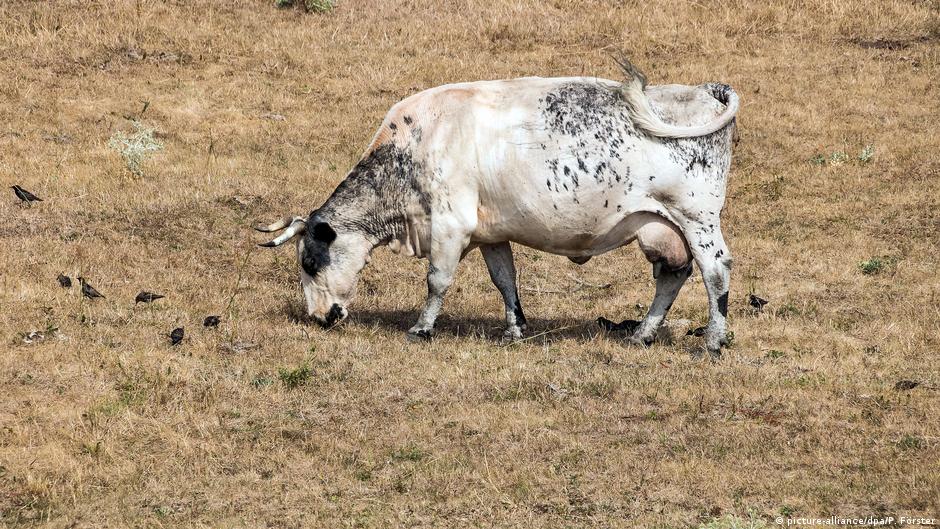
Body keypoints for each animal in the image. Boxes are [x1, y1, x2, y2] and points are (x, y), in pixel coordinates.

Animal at [258, 59, 740, 356]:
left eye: (310, 263)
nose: (318, 317)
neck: (413, 148)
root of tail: (704, 90)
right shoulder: (491, 234)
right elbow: (505, 281)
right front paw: (514, 329)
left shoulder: (450, 225)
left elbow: (437, 281)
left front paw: (421, 328)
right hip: (662, 227)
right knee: (672, 275)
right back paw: (641, 334)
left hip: (698, 221)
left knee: (715, 272)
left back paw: (713, 341)